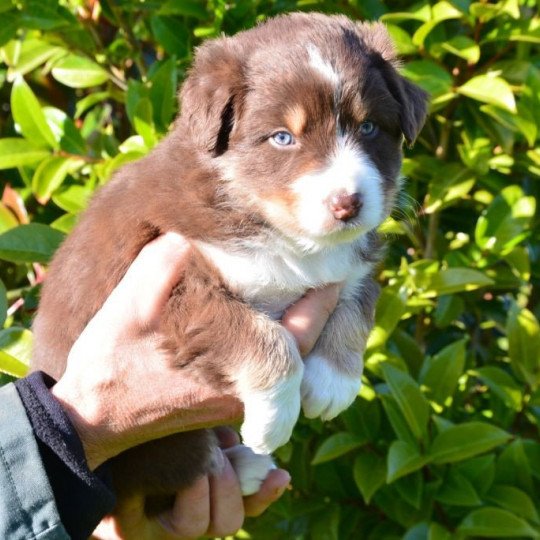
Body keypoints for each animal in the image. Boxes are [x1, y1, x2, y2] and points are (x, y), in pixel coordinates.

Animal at [31, 10, 428, 512]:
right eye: (283, 138)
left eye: (370, 128)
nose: (348, 203)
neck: (282, 233)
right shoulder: (183, 285)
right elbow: (265, 337)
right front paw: (273, 421)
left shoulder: (351, 265)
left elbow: (359, 301)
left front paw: (334, 382)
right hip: (156, 443)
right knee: (179, 471)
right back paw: (243, 466)